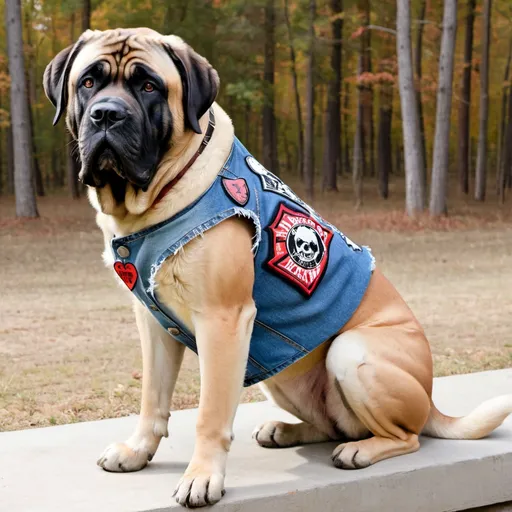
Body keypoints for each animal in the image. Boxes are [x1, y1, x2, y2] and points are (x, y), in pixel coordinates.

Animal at [45, 28, 512, 508]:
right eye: (88, 82)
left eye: (149, 86)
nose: (106, 114)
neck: (156, 196)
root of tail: (432, 400)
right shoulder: (153, 320)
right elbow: (152, 399)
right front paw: (137, 452)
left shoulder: (224, 321)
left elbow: (210, 413)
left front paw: (202, 477)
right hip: (281, 376)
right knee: (331, 425)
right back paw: (286, 430)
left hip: (352, 352)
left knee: (406, 436)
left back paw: (361, 450)